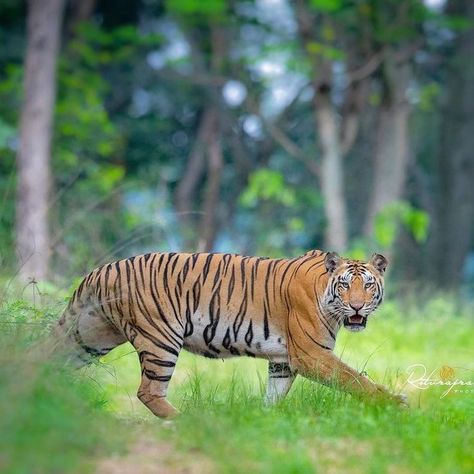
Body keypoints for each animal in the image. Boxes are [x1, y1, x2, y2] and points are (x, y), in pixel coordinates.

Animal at [52, 250, 408, 416]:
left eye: (368, 285)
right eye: (345, 285)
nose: (357, 307)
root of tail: (102, 270)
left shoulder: (283, 361)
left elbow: (274, 395)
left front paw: (266, 420)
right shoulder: (311, 355)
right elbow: (355, 379)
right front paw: (394, 403)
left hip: (88, 337)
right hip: (160, 339)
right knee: (148, 392)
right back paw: (185, 421)